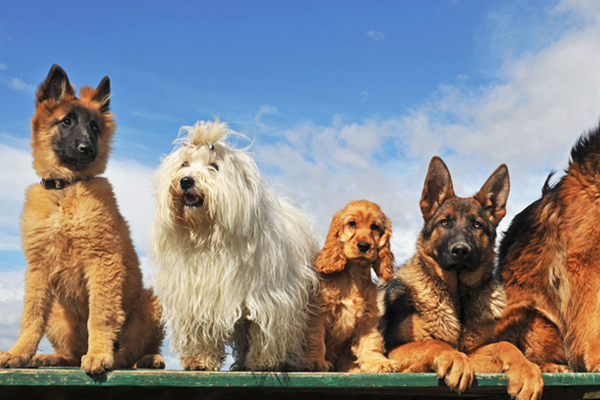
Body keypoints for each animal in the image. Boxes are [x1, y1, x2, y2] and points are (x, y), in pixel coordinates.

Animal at [0, 65, 164, 376]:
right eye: (66, 122)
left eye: (95, 127)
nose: (87, 148)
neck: (66, 188)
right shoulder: (38, 269)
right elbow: (31, 316)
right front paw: (18, 353)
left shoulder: (103, 261)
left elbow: (100, 315)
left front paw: (99, 354)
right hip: (57, 314)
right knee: (74, 355)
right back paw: (52, 358)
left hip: (150, 305)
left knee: (128, 355)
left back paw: (145, 359)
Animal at [151, 119, 318, 372]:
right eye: (184, 164)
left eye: (214, 167)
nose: (186, 180)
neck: (208, 235)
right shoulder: (196, 295)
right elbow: (201, 329)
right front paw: (200, 360)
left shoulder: (269, 298)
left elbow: (262, 330)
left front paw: (262, 362)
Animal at [304, 202, 398, 374]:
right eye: (352, 223)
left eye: (374, 227)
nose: (364, 246)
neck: (354, 273)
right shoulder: (318, 312)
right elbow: (315, 338)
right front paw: (315, 361)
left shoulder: (368, 316)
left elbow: (371, 341)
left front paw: (378, 363)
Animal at [380, 156, 544, 400]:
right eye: (444, 223)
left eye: (477, 225)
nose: (460, 250)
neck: (457, 298)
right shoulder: (392, 352)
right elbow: (433, 342)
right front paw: (454, 358)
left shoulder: (476, 354)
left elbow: (505, 344)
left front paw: (526, 370)